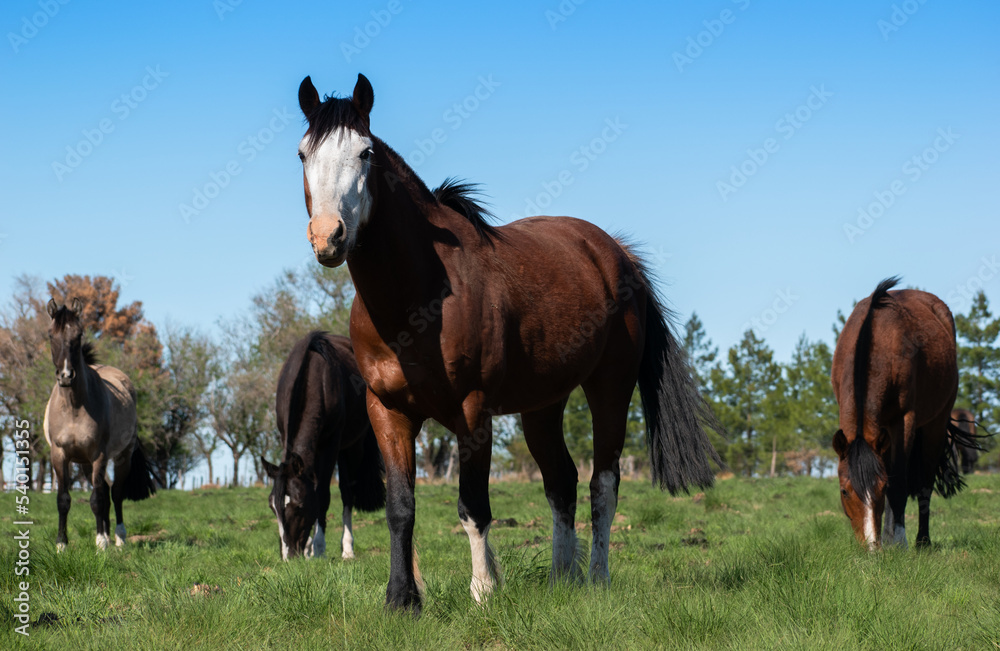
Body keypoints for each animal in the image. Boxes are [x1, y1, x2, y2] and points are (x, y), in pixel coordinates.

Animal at [42, 298, 156, 551]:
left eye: (79, 334)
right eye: (50, 335)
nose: (66, 376)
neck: (74, 407)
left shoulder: (99, 455)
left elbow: (97, 499)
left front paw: (100, 543)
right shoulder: (60, 455)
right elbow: (63, 499)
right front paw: (61, 545)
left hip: (122, 457)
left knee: (115, 493)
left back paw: (118, 538)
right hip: (85, 463)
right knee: (104, 490)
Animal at [262, 332, 386, 560]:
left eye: (299, 505)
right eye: (272, 507)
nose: (288, 555)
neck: (315, 380)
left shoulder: (330, 445)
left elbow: (322, 495)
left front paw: (319, 546)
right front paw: (310, 546)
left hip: (351, 447)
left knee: (347, 492)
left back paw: (347, 548)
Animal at [295, 73, 721, 612]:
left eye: (365, 152)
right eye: (302, 154)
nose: (328, 237)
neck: (417, 298)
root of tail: (617, 254)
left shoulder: (472, 411)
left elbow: (473, 505)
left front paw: (483, 590)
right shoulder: (387, 411)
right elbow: (400, 507)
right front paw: (401, 599)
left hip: (610, 388)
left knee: (603, 484)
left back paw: (597, 578)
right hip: (542, 405)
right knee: (562, 483)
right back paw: (562, 578)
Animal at [831, 278, 967, 550]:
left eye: (880, 489)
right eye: (844, 491)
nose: (870, 547)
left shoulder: (904, 421)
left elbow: (898, 484)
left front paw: (900, 541)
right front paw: (889, 538)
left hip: (935, 426)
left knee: (925, 483)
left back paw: (921, 541)